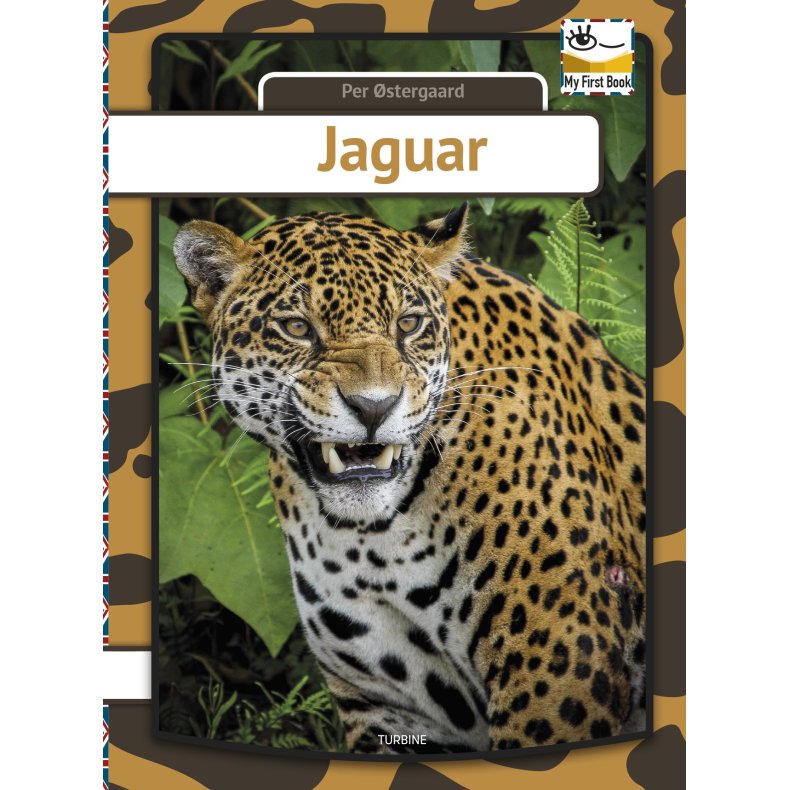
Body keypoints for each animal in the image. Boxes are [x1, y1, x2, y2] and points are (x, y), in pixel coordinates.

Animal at [173, 204, 647, 754]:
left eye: (409, 323)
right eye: (295, 327)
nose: (373, 407)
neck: (374, 541)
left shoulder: (561, 667)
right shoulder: (385, 705)